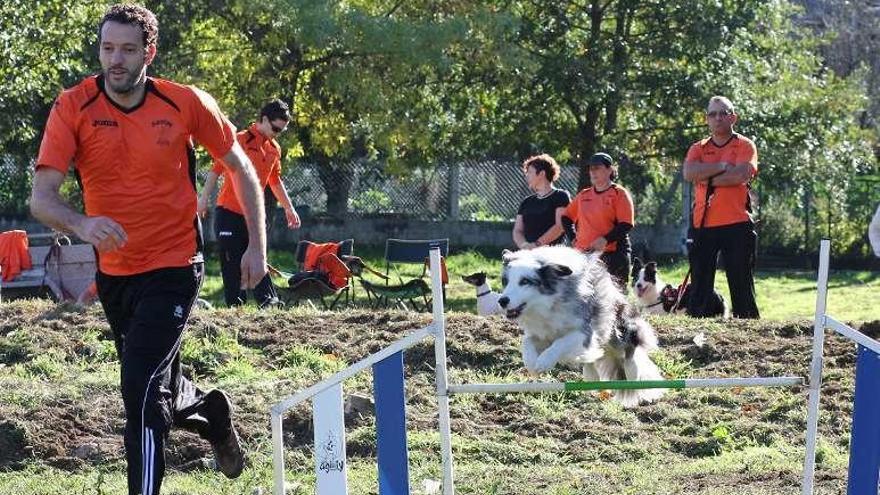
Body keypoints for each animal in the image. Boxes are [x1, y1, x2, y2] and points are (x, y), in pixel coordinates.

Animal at [498, 246, 664, 408]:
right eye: (505, 281)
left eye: (525, 281)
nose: (502, 301)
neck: (549, 303)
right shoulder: (542, 332)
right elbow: (527, 342)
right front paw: (532, 363)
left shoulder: (585, 332)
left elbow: (561, 342)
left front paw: (544, 361)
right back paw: (593, 376)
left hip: (617, 328)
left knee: (629, 348)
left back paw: (632, 371)